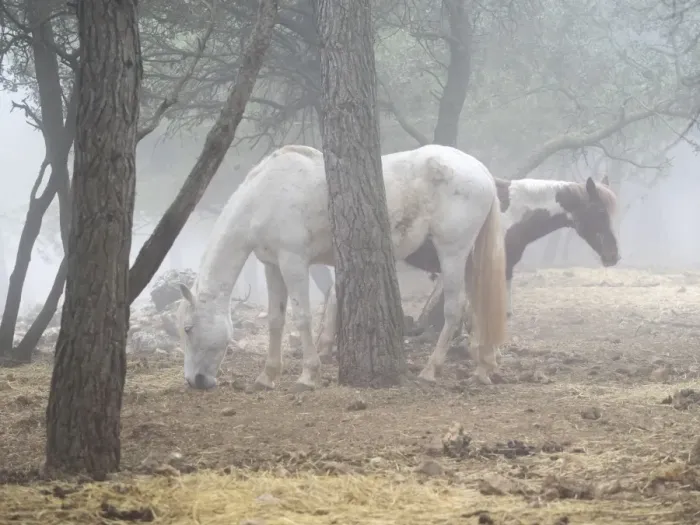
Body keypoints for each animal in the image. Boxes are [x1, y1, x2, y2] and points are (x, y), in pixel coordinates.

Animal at [177, 144, 508, 390]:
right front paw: (267, 376)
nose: (195, 380)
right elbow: (275, 319)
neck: (267, 194)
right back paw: (482, 368)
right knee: (477, 305)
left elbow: (302, 318)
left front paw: (308, 375)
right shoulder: (272, 265)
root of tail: (481, 171)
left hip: (452, 253)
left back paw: (431, 369)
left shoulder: (294, 262)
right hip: (469, 257)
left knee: (455, 309)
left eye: (188, 328)